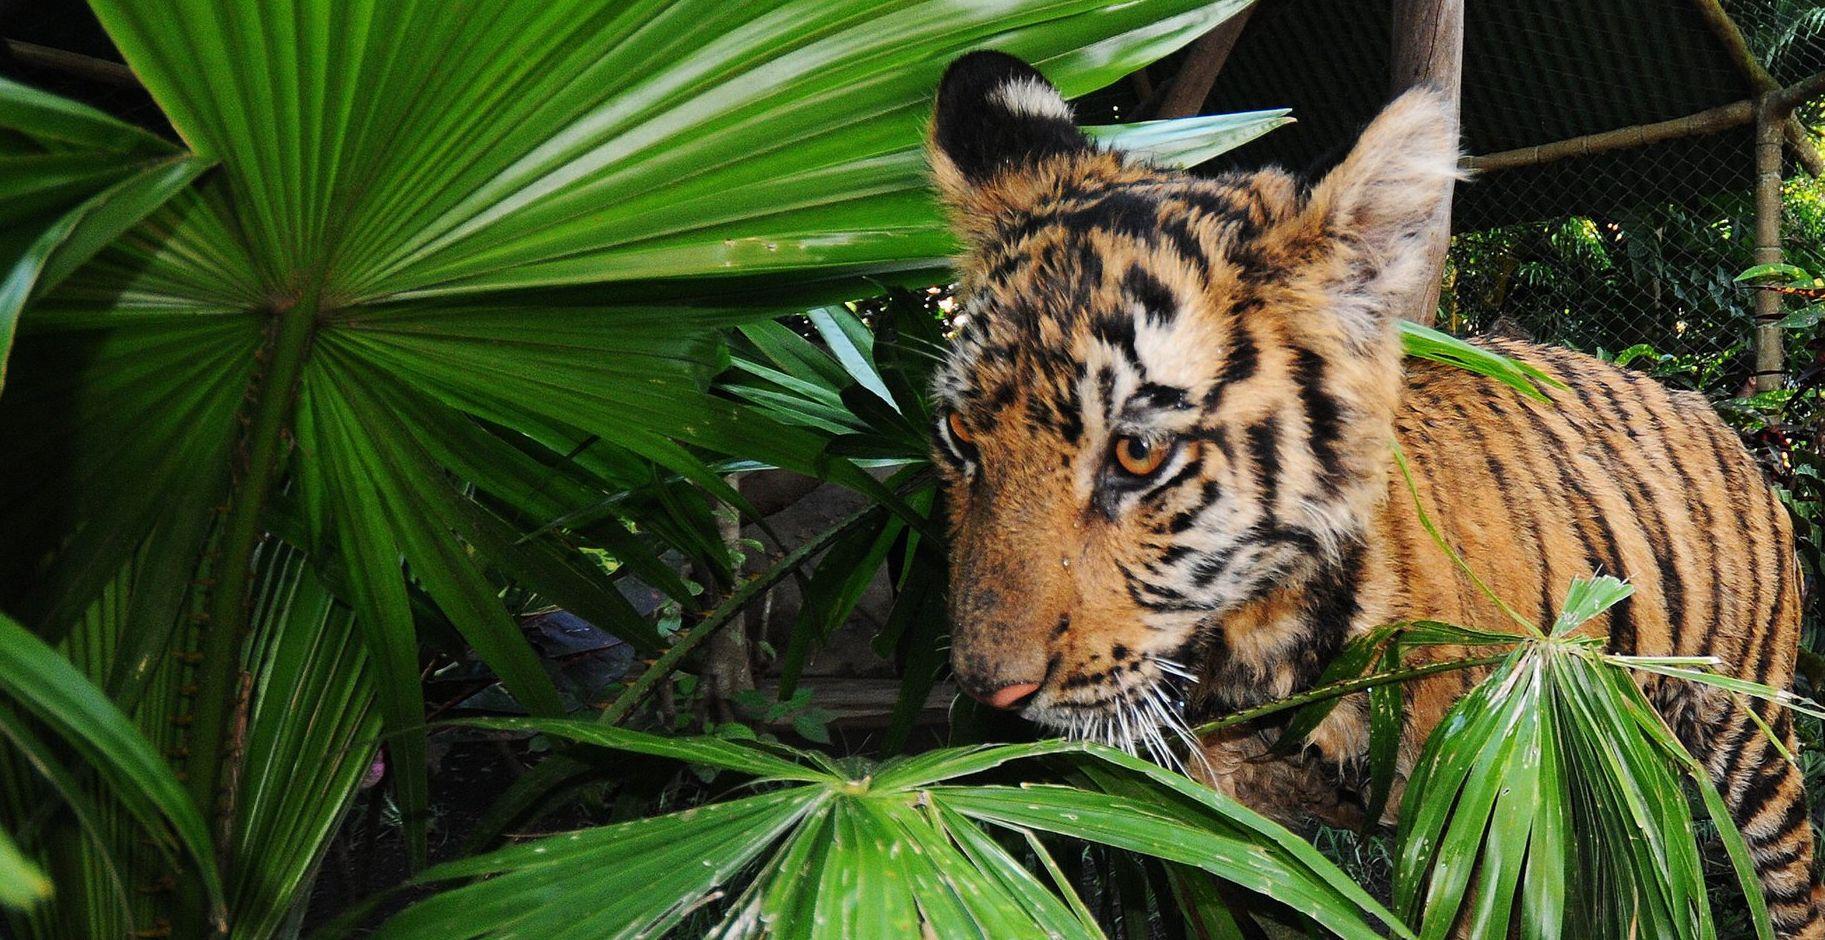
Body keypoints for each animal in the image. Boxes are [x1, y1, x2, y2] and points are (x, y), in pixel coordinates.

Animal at [926, 50, 1822, 936]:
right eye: (961, 434)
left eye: (1137, 452)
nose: (991, 694)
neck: (1257, 659)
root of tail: (1710, 411)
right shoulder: (1236, 839)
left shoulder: (1489, 821)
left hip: (1748, 739)